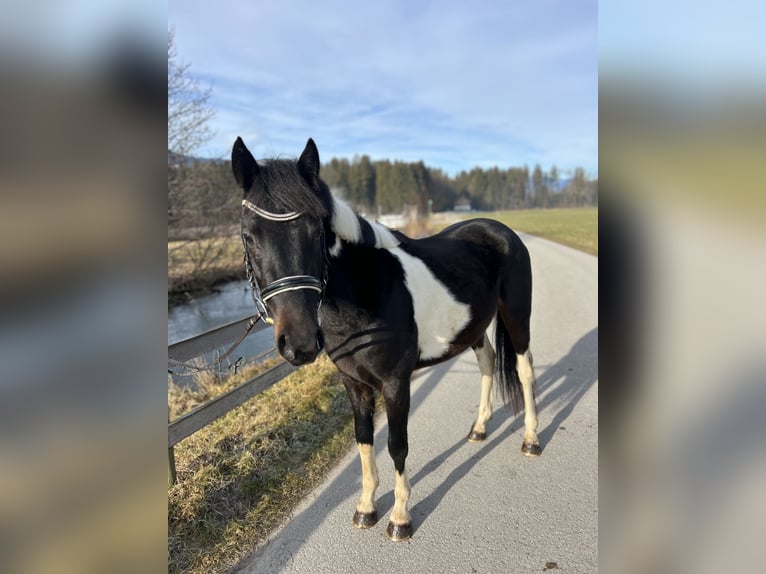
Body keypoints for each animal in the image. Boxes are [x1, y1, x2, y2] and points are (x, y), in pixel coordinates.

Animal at [231, 137, 544, 544]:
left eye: (317, 231)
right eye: (248, 235)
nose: (299, 342)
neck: (366, 289)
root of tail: (499, 229)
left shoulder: (396, 383)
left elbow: (397, 444)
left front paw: (399, 518)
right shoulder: (353, 382)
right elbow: (364, 439)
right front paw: (366, 508)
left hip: (517, 317)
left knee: (524, 370)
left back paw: (531, 440)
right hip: (474, 327)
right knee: (488, 363)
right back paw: (478, 429)